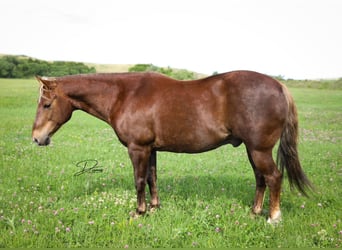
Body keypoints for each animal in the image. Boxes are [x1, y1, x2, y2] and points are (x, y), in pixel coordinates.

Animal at [32, 70, 312, 223]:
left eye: (47, 105)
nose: (36, 138)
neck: (125, 94)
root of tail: (279, 86)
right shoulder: (151, 149)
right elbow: (152, 178)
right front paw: (155, 208)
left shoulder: (137, 148)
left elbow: (139, 180)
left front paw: (139, 211)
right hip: (252, 150)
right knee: (260, 178)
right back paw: (254, 212)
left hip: (259, 150)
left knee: (273, 177)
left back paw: (273, 217)